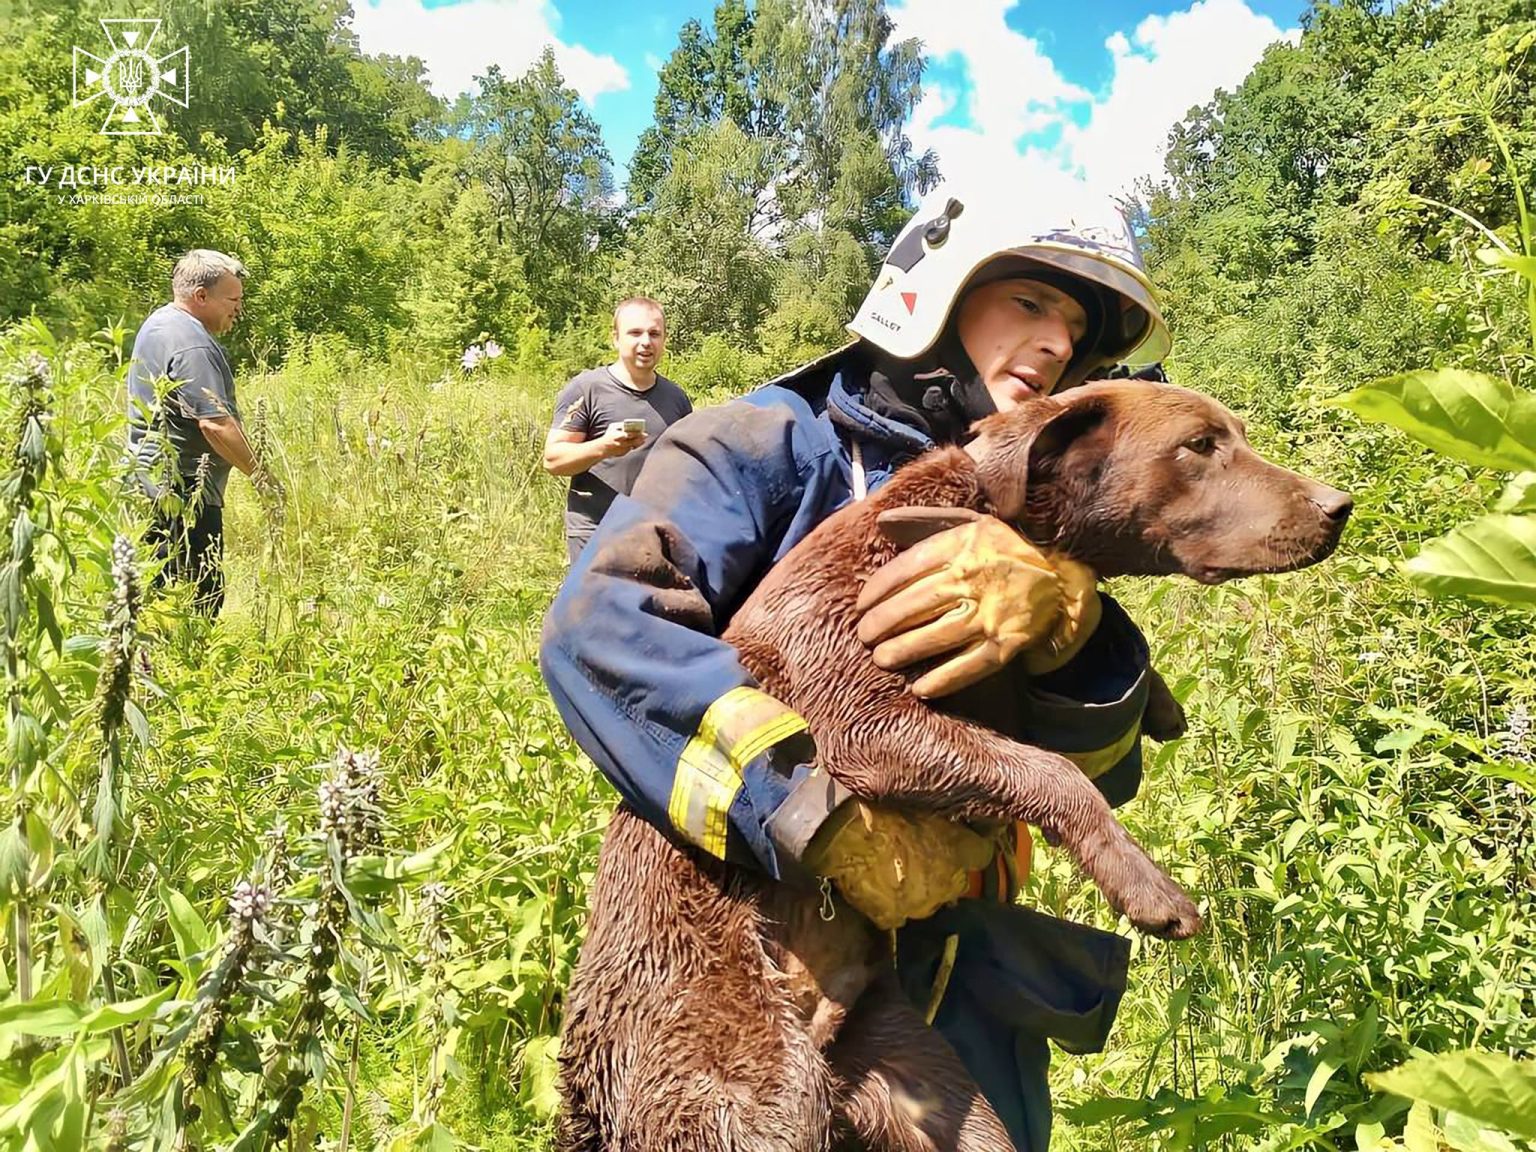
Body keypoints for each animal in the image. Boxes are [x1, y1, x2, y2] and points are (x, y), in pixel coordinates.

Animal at [559, 384, 1351, 1152]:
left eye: (1233, 433)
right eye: (1199, 445)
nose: (1337, 505)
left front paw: (1158, 702)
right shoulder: (857, 710)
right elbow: (1053, 773)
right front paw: (1152, 891)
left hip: (913, 1074)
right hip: (739, 1073)